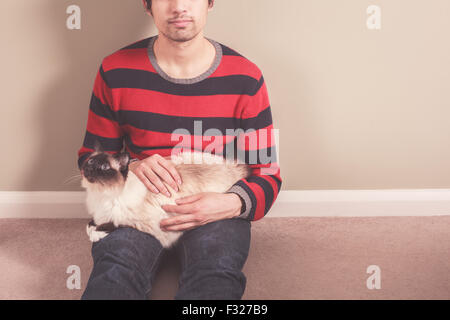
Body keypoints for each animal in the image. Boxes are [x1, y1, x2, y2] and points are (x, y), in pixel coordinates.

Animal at [79, 142, 251, 248]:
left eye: (104, 167)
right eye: (90, 162)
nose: (88, 169)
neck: (100, 194)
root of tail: (236, 167)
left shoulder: (151, 224)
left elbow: (115, 223)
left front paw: (96, 233)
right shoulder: (99, 213)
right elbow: (90, 223)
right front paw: (92, 229)